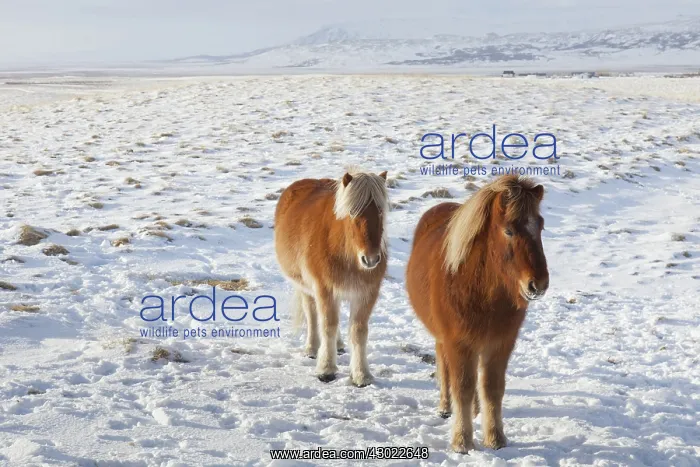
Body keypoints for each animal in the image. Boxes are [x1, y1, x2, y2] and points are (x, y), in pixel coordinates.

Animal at [274, 168, 389, 386]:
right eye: (352, 212)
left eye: (380, 210)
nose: (371, 259)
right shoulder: (324, 288)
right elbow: (327, 325)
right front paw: (326, 370)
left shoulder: (366, 293)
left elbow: (358, 331)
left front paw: (361, 375)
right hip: (305, 287)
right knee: (312, 314)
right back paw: (312, 348)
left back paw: (339, 345)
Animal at [406, 175, 549, 453]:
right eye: (509, 231)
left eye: (540, 227)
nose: (538, 284)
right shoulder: (458, 343)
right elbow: (462, 386)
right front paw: (462, 441)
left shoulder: (500, 344)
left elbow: (492, 389)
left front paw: (495, 438)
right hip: (446, 340)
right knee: (444, 365)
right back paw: (445, 407)